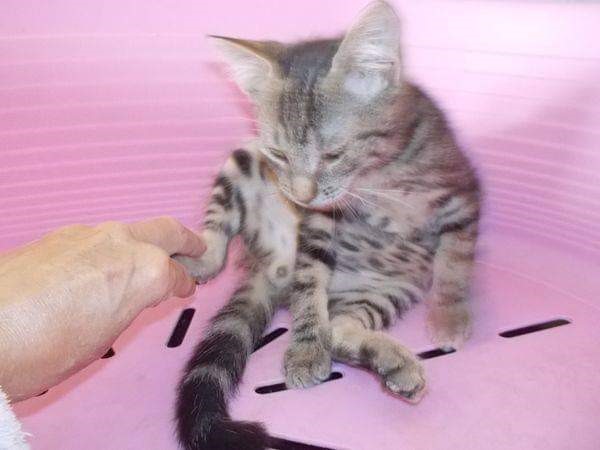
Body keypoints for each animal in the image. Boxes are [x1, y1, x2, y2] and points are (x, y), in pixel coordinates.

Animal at [174, 2, 480, 449]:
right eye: (279, 155)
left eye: (334, 153)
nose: (301, 196)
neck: (381, 174)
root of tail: (270, 269)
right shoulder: (318, 220)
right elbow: (310, 281)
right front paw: (304, 349)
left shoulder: (462, 193)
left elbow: (456, 260)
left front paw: (450, 316)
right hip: (242, 159)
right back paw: (205, 258)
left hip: (388, 288)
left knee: (340, 331)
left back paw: (394, 363)